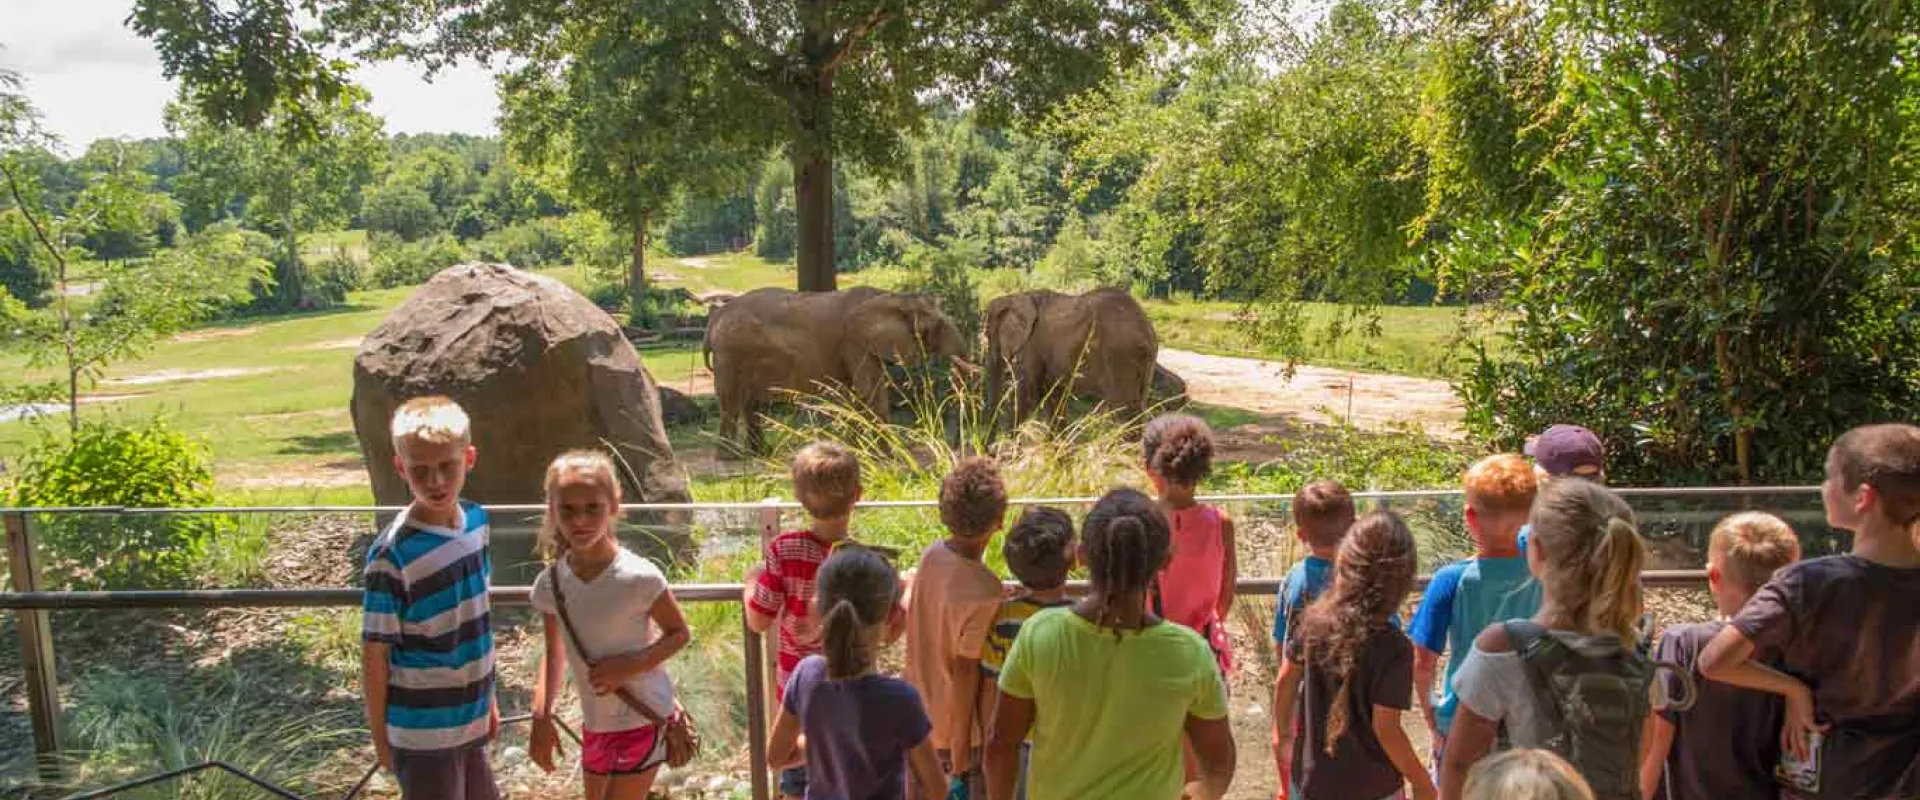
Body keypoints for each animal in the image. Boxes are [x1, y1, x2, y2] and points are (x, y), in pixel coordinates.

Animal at [703, 287, 971, 450]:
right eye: (936, 326)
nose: (955, 446)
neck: (890, 297)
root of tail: (716, 317)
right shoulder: (855, 341)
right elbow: (870, 392)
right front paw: (888, 456)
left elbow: (856, 395)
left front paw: (856, 450)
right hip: (730, 354)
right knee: (731, 401)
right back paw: (731, 457)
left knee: (750, 403)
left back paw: (760, 453)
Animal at [986, 288, 1159, 425]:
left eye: (989, 335)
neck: (1013, 297)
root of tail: (1148, 329)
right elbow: (1056, 400)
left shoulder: (1030, 345)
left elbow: (1026, 395)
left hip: (1121, 356)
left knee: (1126, 411)